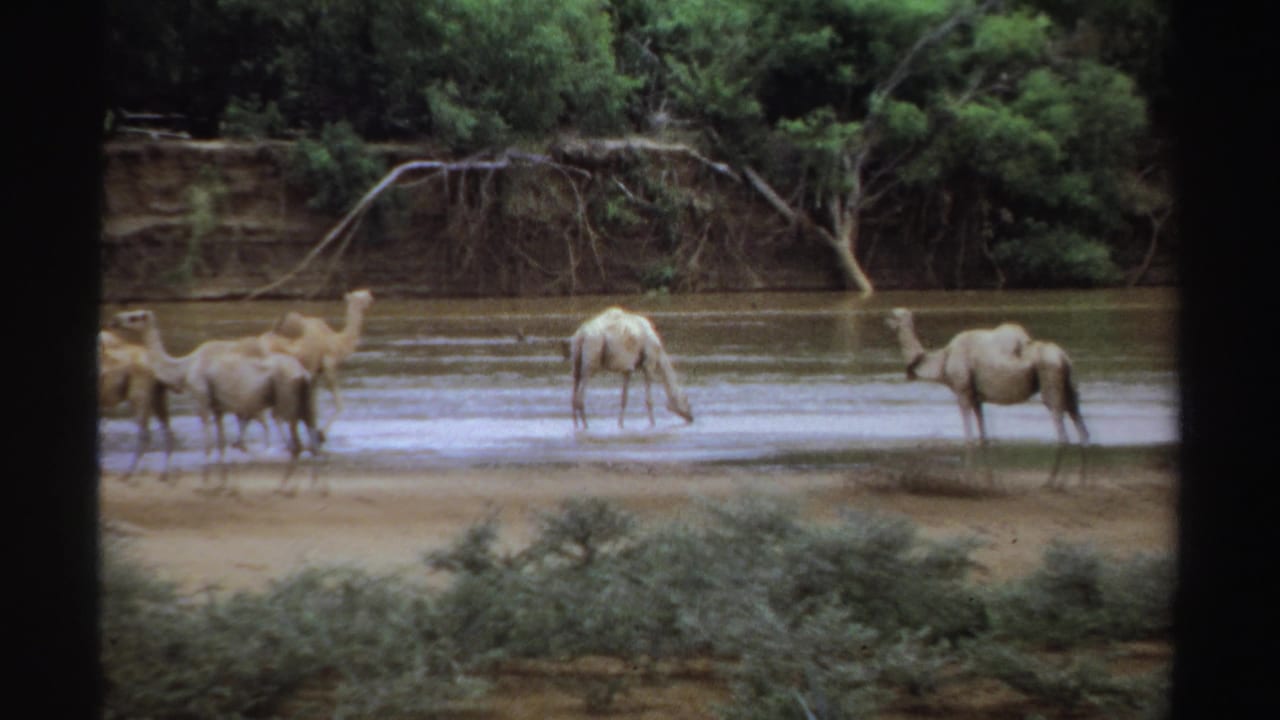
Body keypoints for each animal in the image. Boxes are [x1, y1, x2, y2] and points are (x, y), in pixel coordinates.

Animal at [97, 329, 176, 482]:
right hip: (157, 399)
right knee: (167, 431)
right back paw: (164, 473)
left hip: (138, 398)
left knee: (145, 435)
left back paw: (129, 473)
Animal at [110, 310, 324, 495]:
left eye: (135, 317)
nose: (115, 320)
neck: (185, 368)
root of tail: (303, 374)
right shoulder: (218, 408)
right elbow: (221, 443)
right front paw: (222, 485)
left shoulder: (202, 399)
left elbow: (208, 443)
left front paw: (204, 484)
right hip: (306, 403)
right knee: (312, 439)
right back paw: (315, 488)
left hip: (286, 402)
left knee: (296, 445)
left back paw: (284, 487)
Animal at [259, 288, 374, 434]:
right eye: (360, 296)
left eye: (364, 293)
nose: (371, 297)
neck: (336, 342)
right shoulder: (326, 366)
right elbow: (337, 404)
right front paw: (322, 432)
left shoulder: (316, 373)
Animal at [886, 307, 1089, 487]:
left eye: (895, 315)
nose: (885, 320)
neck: (943, 361)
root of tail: (1064, 357)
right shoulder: (977, 398)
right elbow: (984, 438)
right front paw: (987, 483)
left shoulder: (963, 391)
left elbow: (969, 439)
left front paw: (965, 480)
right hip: (1067, 386)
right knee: (1079, 424)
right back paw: (1077, 482)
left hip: (1049, 376)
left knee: (1062, 431)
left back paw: (1050, 483)